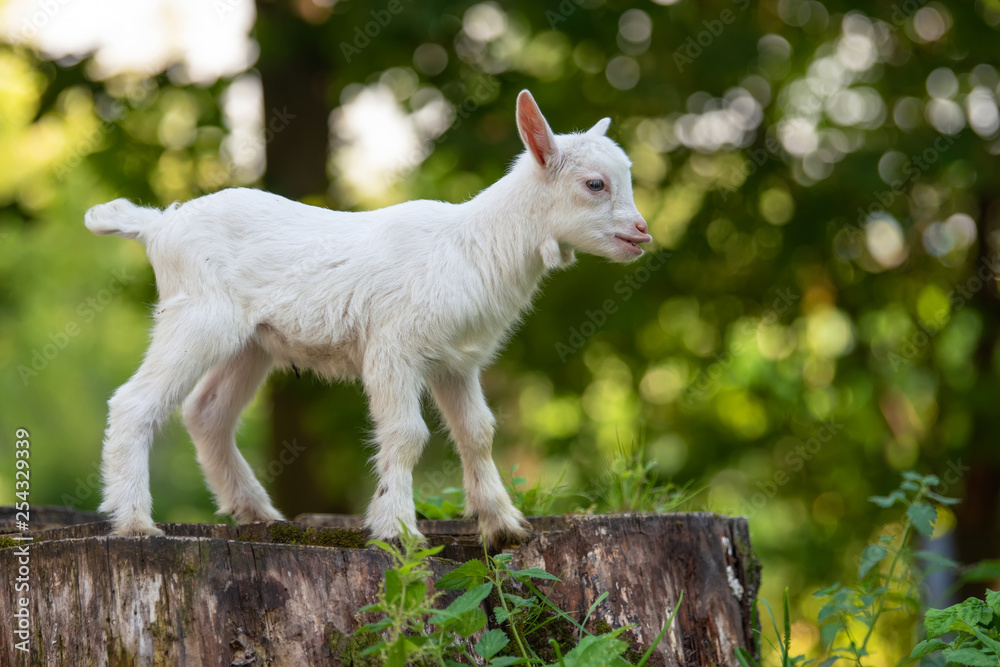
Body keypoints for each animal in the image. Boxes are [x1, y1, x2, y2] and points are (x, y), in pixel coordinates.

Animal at [88, 88, 656, 548]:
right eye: (595, 184)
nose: (642, 232)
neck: (472, 247)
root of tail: (159, 224)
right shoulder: (393, 347)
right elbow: (407, 434)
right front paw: (397, 529)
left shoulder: (457, 363)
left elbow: (478, 433)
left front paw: (503, 525)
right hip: (198, 317)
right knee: (133, 403)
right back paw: (134, 522)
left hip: (251, 343)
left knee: (207, 413)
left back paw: (259, 512)